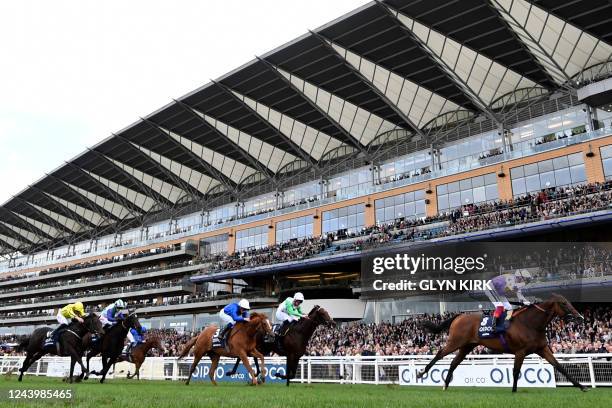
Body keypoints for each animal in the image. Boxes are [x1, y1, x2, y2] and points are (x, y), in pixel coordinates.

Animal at [418, 294, 584, 392]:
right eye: (563, 303)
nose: (580, 317)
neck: (530, 324)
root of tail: (458, 316)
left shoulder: (542, 348)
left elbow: (559, 366)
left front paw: (581, 386)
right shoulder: (520, 351)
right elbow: (516, 371)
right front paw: (514, 391)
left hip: (467, 346)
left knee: (454, 362)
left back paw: (445, 385)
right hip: (455, 342)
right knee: (440, 354)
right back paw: (422, 373)